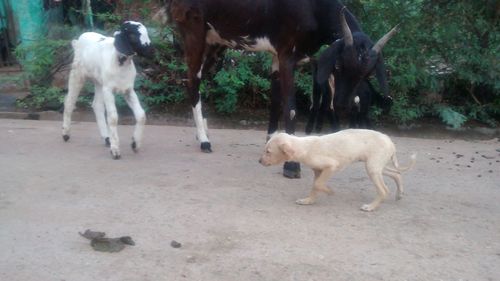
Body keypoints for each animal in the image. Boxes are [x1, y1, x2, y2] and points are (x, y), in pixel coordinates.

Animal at [62, 21, 153, 159]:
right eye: (133, 35)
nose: (151, 51)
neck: (119, 63)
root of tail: (78, 40)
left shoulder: (128, 90)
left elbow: (141, 115)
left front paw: (135, 144)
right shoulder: (109, 90)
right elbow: (113, 117)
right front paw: (115, 150)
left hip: (100, 83)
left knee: (97, 105)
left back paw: (106, 138)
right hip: (77, 74)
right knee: (69, 102)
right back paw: (66, 134)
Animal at [260, 129, 416, 210]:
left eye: (268, 151)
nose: (259, 161)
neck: (304, 147)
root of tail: (390, 141)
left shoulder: (331, 166)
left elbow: (318, 184)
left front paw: (330, 191)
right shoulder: (318, 170)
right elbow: (315, 186)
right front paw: (309, 201)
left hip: (372, 168)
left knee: (384, 190)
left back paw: (371, 207)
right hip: (377, 167)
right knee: (397, 174)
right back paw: (399, 194)